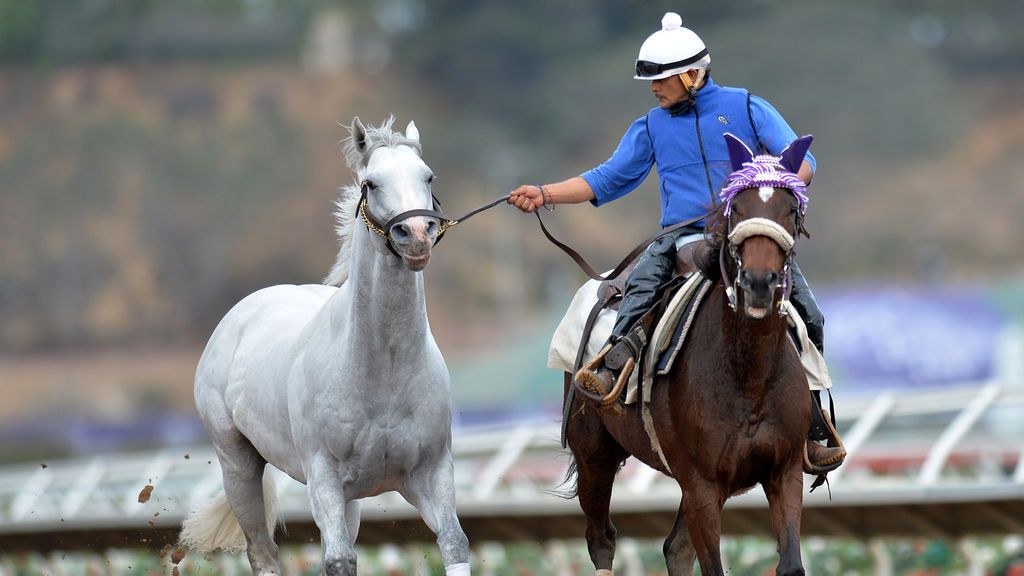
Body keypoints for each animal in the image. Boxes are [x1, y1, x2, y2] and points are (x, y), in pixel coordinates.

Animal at [182, 116, 468, 573]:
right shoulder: (324, 479)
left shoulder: (431, 474)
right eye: (370, 182)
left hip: (350, 501)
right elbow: (339, 560)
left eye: (428, 176)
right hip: (237, 466)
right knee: (263, 552)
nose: (416, 235)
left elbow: (454, 544)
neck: (381, 373)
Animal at [565, 134, 811, 573]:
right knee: (601, 539)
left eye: (790, 210)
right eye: (738, 209)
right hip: (593, 452)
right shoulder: (702, 485)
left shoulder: (784, 473)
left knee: (675, 548)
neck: (749, 378)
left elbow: (790, 563)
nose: (759, 283)